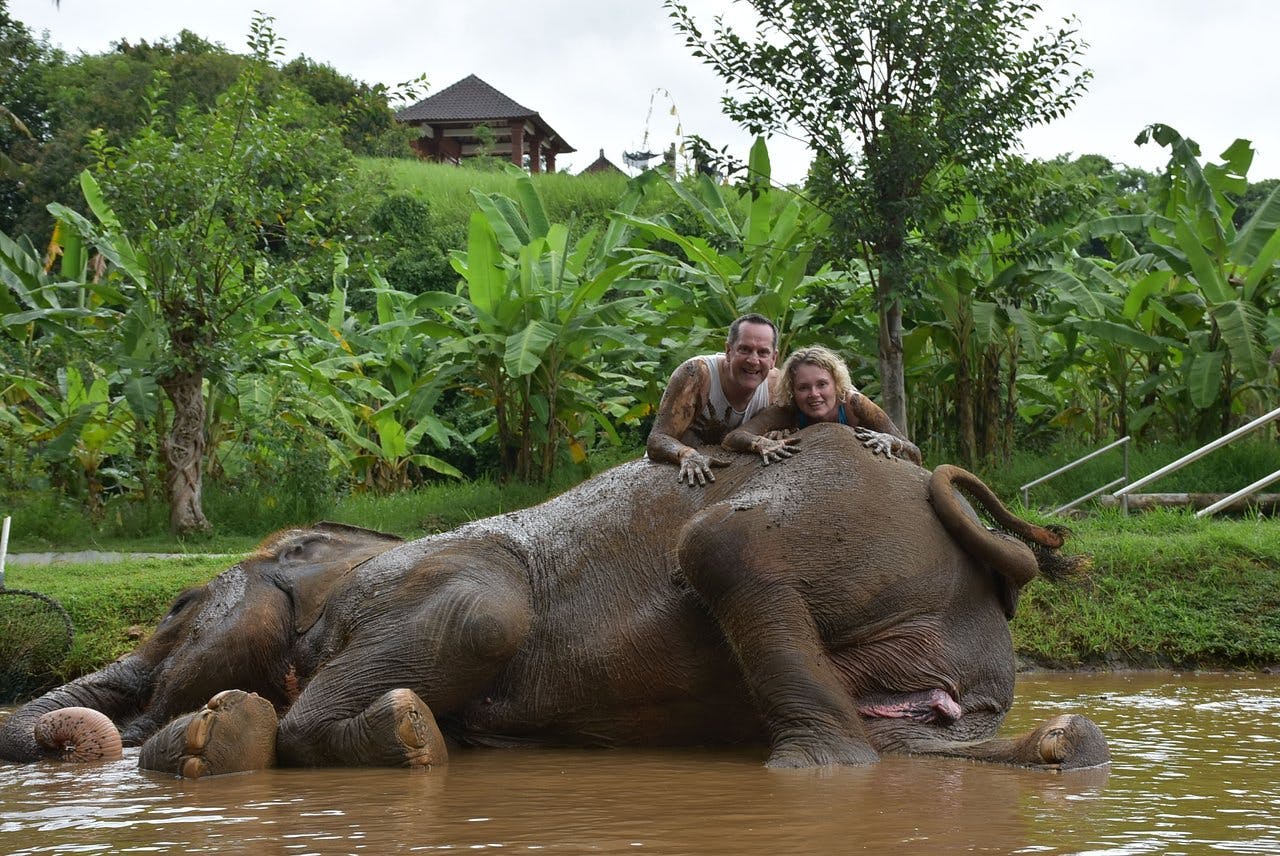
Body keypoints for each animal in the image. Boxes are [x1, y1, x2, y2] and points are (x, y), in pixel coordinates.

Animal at [0, 424, 1108, 776]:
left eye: (180, 602)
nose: (68, 737)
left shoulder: (414, 581)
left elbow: (473, 618)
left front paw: (209, 737)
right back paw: (1061, 748)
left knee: (724, 544)